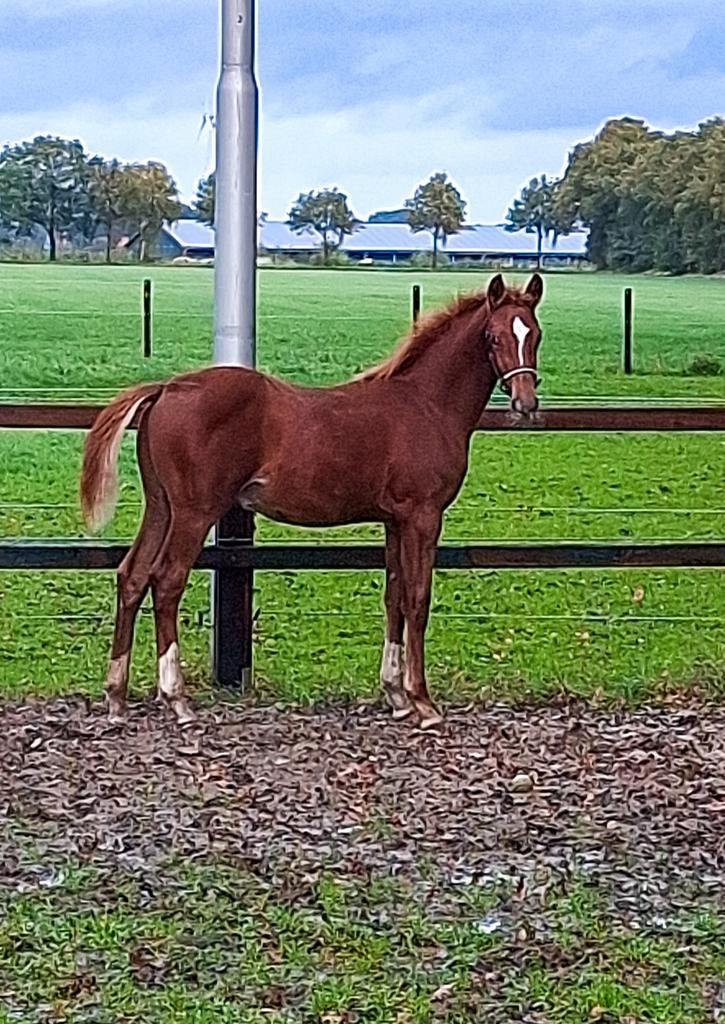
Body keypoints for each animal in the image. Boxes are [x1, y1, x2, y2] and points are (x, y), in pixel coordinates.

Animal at [80, 272, 544, 729]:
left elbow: (393, 596)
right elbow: (417, 598)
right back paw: (177, 699)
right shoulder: (423, 516)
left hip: (161, 507)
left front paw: (395, 695)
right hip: (194, 512)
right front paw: (422, 702)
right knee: (166, 581)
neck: (426, 404)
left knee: (132, 576)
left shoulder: (394, 520)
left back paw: (116, 698)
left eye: (535, 334)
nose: (526, 403)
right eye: (494, 336)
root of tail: (169, 388)